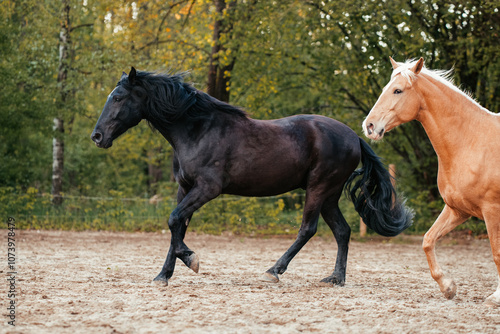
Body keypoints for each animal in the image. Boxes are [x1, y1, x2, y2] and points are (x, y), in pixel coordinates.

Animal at [92, 67, 412, 288]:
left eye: (118, 97)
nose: (97, 136)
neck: (197, 130)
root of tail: (354, 137)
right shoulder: (185, 189)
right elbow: (176, 226)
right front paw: (163, 275)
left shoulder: (207, 189)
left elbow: (173, 222)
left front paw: (192, 260)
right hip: (330, 195)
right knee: (343, 231)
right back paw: (335, 278)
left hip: (318, 188)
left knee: (308, 229)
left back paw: (274, 271)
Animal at [364, 56, 500, 306]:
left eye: (398, 90)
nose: (369, 126)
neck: (471, 141)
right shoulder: (458, 210)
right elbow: (428, 241)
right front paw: (448, 287)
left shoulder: (491, 211)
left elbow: (496, 253)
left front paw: (496, 297)